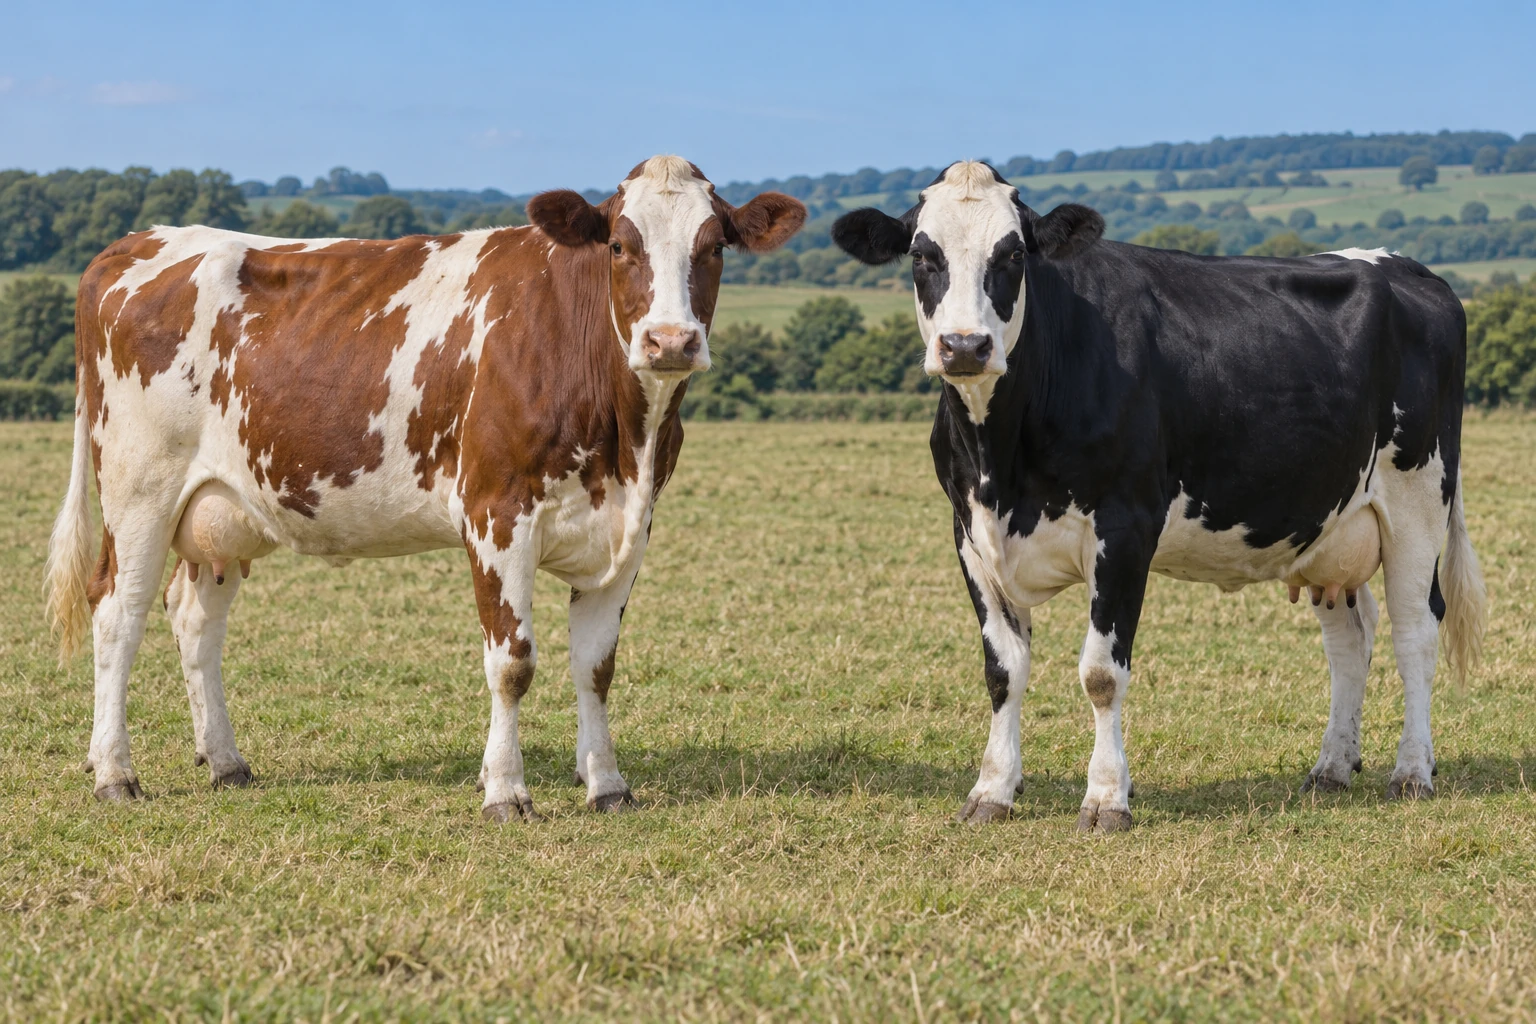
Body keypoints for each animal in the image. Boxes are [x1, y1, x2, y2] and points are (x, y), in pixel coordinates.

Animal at [45, 155, 805, 821]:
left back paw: (225, 761)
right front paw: (506, 792)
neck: (625, 440)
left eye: (714, 247)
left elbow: (596, 667)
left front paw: (608, 786)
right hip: (138, 489)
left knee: (195, 617)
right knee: (117, 612)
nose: (670, 341)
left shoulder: (628, 528)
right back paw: (114, 772)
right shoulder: (497, 515)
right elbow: (513, 663)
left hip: (222, 511)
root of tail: (137, 242)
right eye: (619, 244)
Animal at [832, 160, 1487, 830]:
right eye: (921, 255)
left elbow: (1100, 673)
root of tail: (1412, 270)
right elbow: (1002, 671)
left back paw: (1412, 771)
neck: (1003, 462)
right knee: (1350, 640)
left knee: (1416, 630)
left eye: (1013, 254)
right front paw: (992, 790)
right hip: (1327, 524)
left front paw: (1105, 799)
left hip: (1418, 501)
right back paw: (1331, 767)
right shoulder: (969, 533)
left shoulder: (1125, 529)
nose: (965, 346)